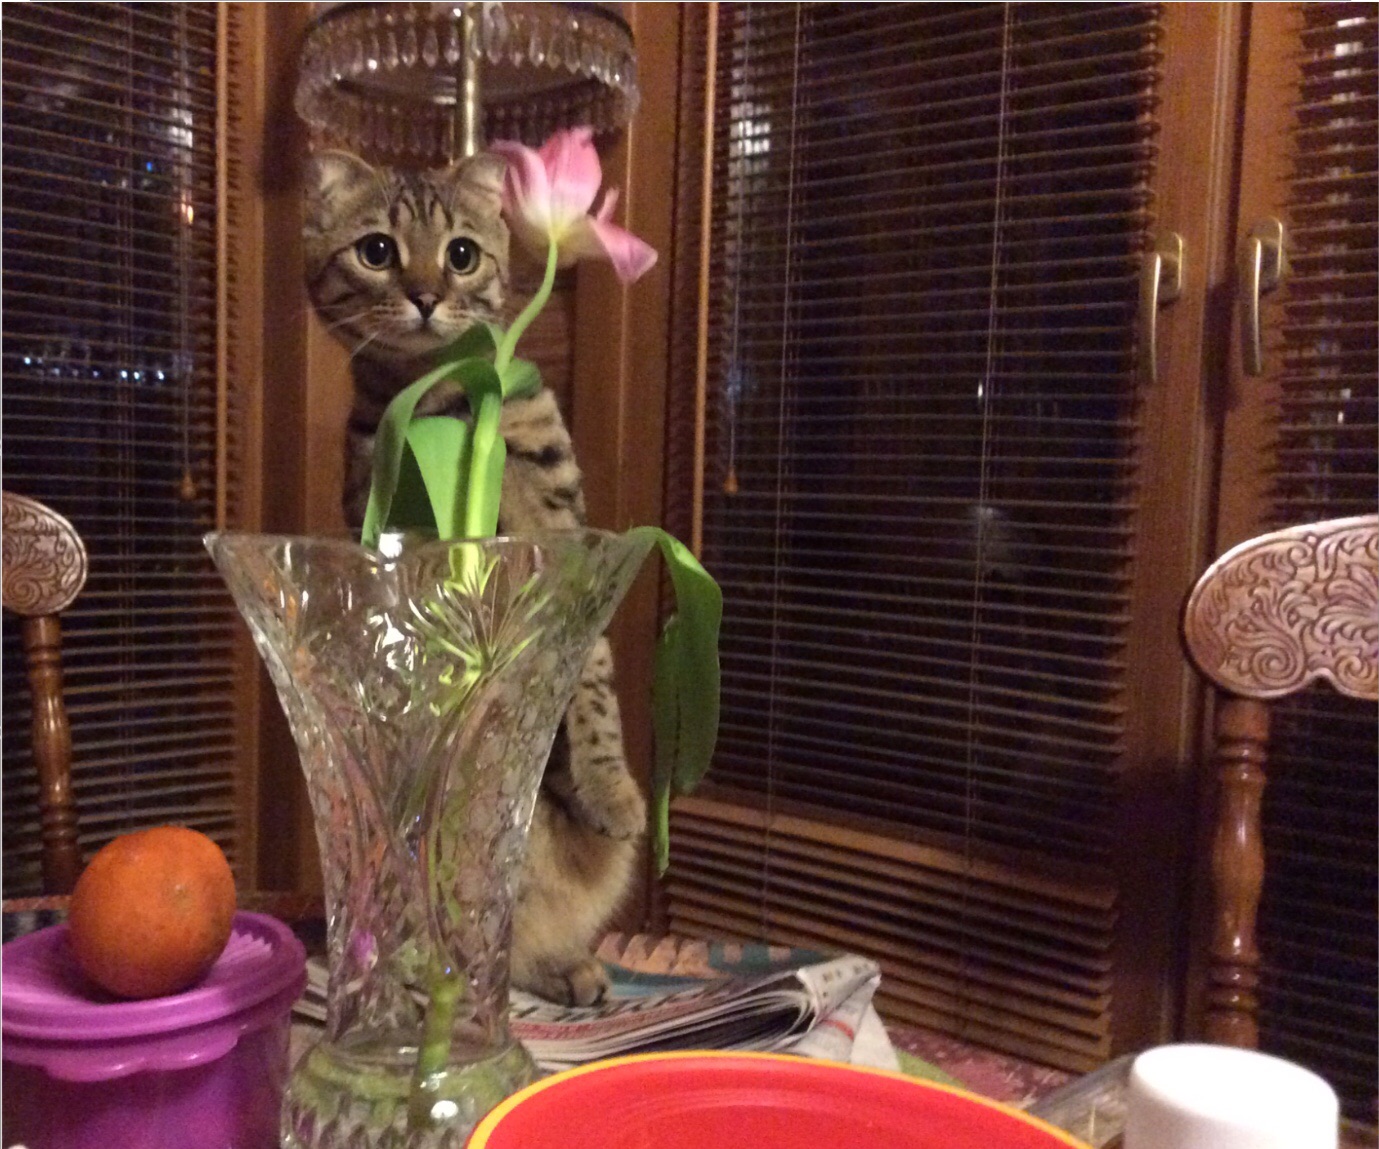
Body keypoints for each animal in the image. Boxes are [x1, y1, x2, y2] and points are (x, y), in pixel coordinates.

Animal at [302, 149, 645, 1005]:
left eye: (461, 253)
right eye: (377, 251)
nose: (427, 295)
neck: (450, 401)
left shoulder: (567, 545)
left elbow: (593, 686)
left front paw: (609, 787)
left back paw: (571, 967)